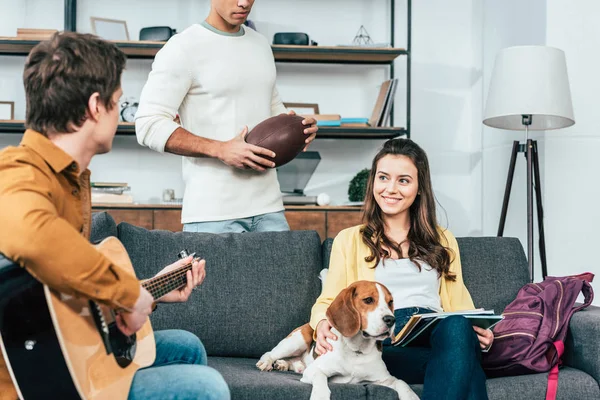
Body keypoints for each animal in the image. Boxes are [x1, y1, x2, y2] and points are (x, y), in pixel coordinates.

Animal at [255, 282, 420, 400]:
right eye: (368, 300)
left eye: (390, 302)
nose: (391, 320)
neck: (357, 350)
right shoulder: (314, 370)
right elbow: (321, 378)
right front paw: (320, 396)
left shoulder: (384, 379)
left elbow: (402, 382)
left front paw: (411, 397)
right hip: (296, 341)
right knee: (270, 353)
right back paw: (268, 362)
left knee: (293, 361)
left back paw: (285, 364)